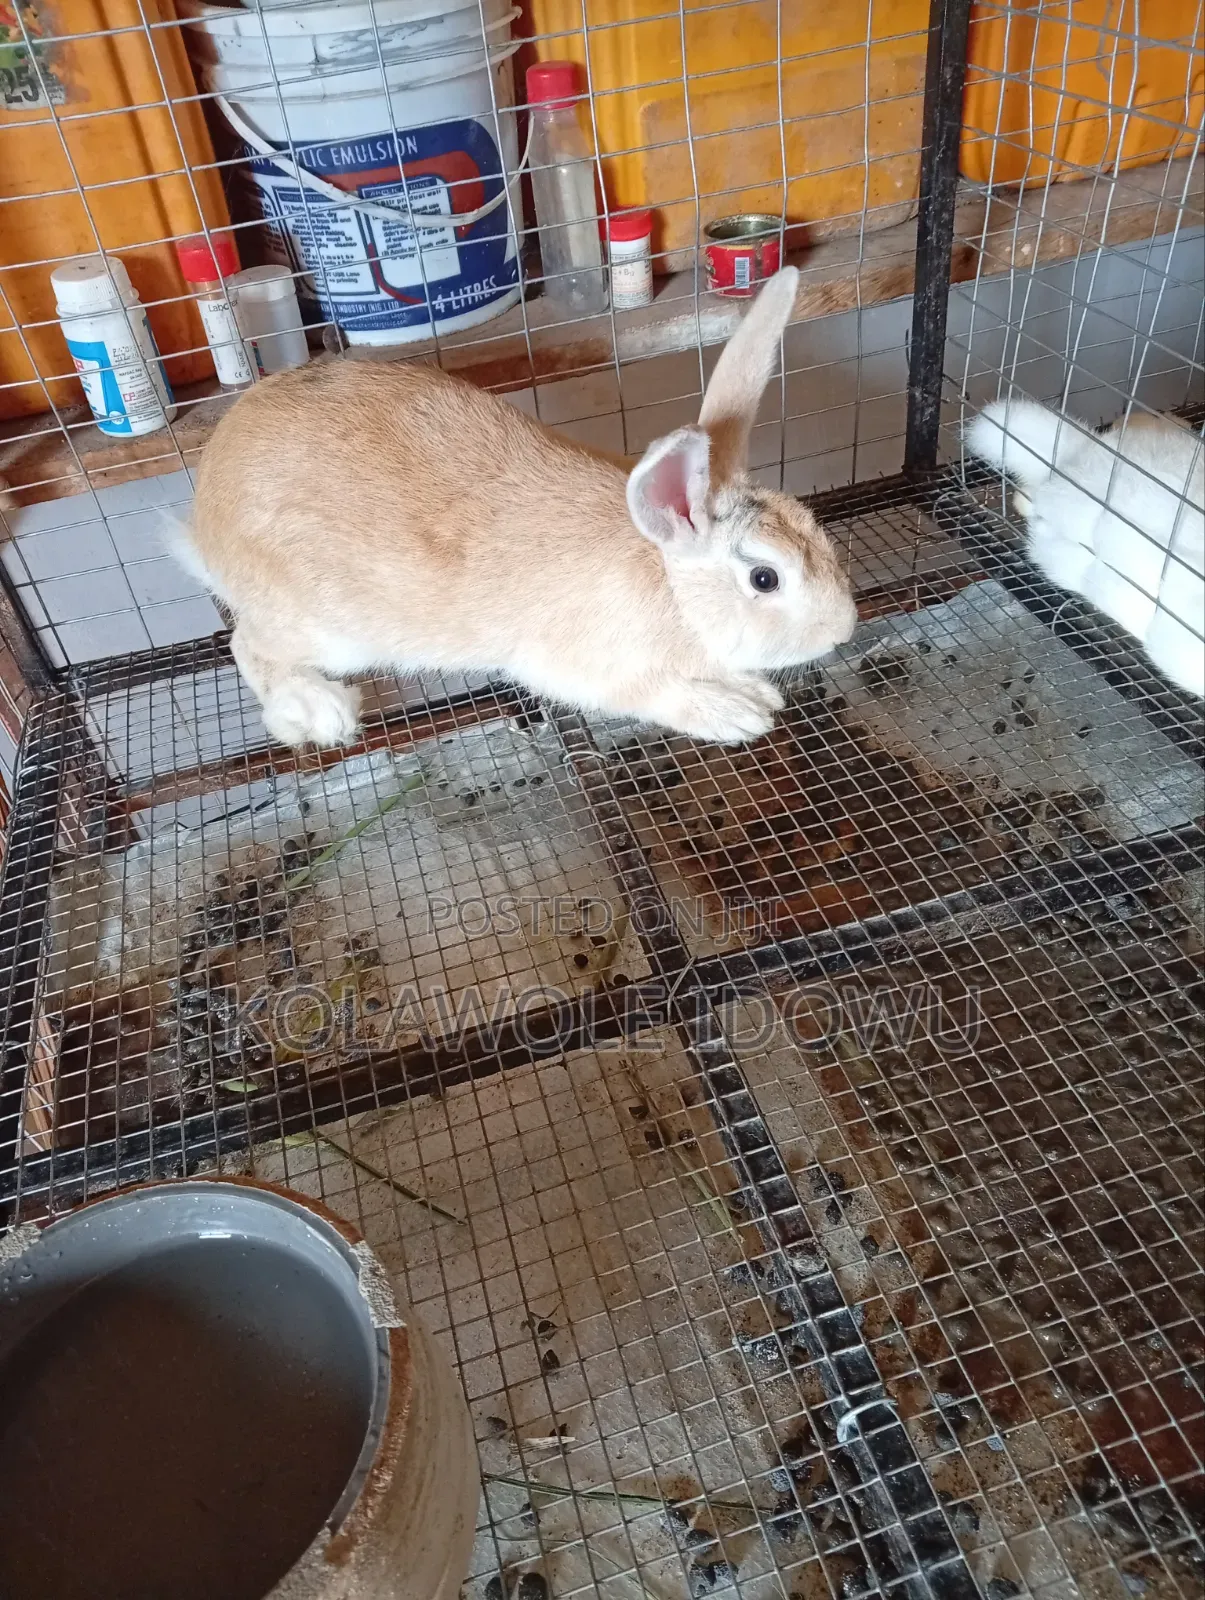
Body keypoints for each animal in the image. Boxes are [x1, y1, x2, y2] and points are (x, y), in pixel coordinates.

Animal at [176, 267, 857, 750]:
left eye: (814, 529)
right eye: (764, 578)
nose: (844, 628)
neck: (670, 585)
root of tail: (205, 514)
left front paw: (754, 691)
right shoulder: (594, 670)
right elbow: (661, 695)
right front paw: (738, 714)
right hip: (326, 629)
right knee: (246, 645)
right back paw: (319, 712)